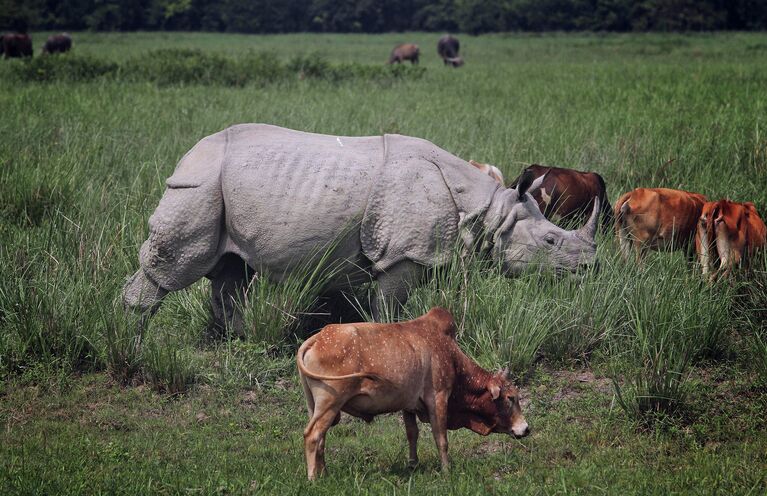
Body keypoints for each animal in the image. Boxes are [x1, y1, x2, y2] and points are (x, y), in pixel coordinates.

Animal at [296, 308, 532, 478]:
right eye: (510, 398)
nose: (526, 428)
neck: (451, 355)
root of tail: (318, 338)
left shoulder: (408, 405)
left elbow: (412, 434)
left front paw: (413, 464)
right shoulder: (438, 397)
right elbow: (441, 438)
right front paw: (447, 471)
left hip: (315, 406)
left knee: (321, 439)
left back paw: (324, 473)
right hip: (330, 403)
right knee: (313, 435)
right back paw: (313, 478)